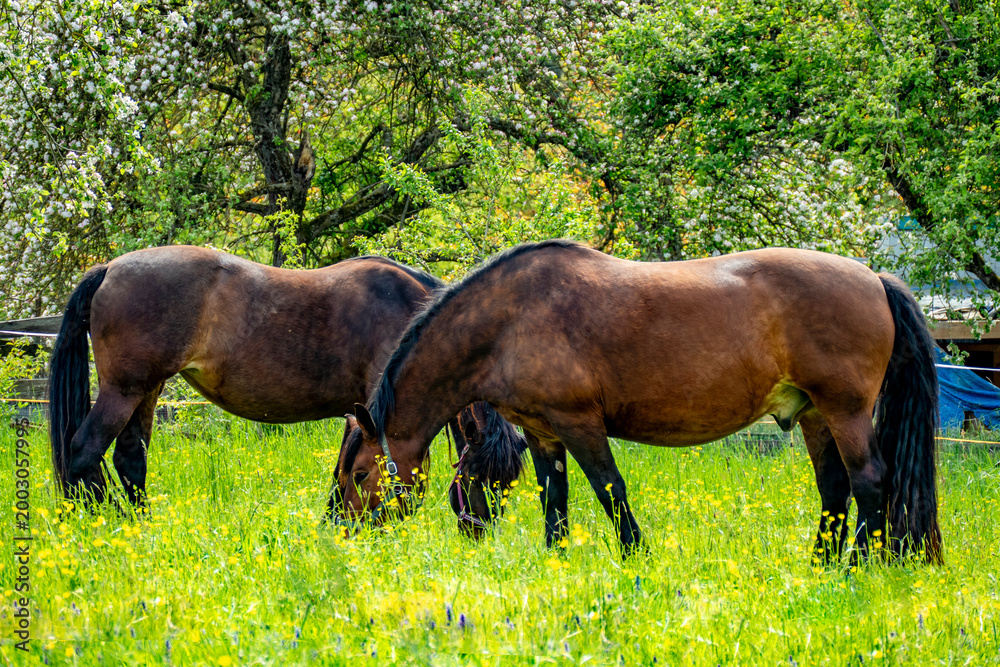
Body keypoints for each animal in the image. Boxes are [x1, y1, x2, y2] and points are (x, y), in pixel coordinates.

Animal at [48, 245, 525, 527]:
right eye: (481, 475)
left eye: (508, 480)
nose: (480, 531)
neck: (407, 309)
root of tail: (109, 268)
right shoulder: (373, 407)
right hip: (123, 390)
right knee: (84, 451)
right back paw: (102, 525)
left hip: (147, 390)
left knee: (130, 458)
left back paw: (140, 527)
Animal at [335, 239, 942, 564]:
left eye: (359, 474)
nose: (344, 537)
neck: (511, 319)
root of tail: (873, 277)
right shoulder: (542, 432)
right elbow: (553, 499)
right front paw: (555, 561)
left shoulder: (579, 423)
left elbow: (610, 491)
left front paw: (635, 559)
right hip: (814, 414)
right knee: (835, 489)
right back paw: (821, 566)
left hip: (845, 411)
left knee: (869, 483)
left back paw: (855, 568)